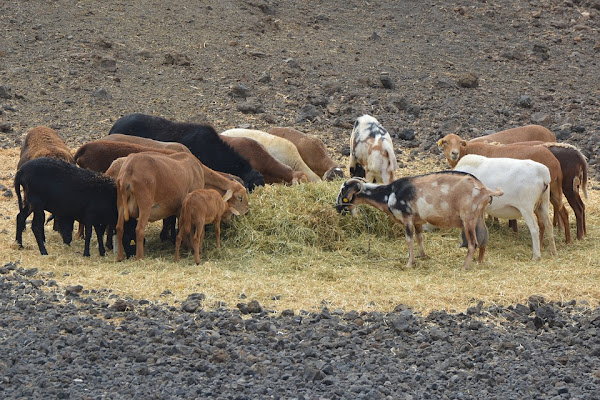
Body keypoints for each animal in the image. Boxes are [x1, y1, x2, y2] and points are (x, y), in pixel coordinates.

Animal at [336, 172, 504, 268]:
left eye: (343, 191)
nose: (337, 208)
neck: (389, 194)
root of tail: (485, 190)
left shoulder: (407, 219)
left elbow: (409, 240)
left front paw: (409, 264)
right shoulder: (417, 222)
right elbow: (419, 238)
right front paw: (423, 256)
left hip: (468, 218)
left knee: (473, 243)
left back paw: (464, 267)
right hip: (479, 217)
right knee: (483, 240)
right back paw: (480, 262)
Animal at [436, 133, 572, 242]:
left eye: (459, 142)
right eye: (446, 142)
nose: (454, 153)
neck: (467, 151)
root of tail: (555, 162)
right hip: (553, 190)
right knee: (563, 211)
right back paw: (568, 240)